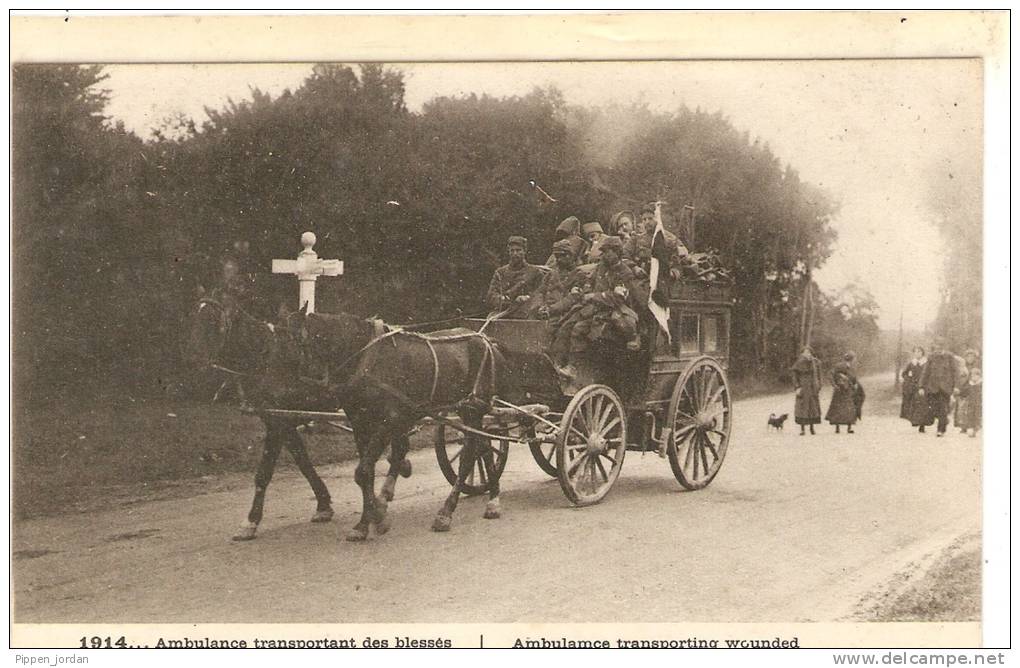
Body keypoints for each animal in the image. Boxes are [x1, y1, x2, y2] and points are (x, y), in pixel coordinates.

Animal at [267, 310, 510, 542]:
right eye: (273, 347)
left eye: (288, 348)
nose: (272, 398)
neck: (365, 358)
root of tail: (486, 340)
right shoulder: (360, 423)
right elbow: (367, 473)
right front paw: (370, 519)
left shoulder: (388, 420)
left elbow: (363, 471)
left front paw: (375, 518)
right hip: (469, 410)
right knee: (483, 447)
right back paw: (492, 499)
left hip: (473, 409)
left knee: (470, 454)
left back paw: (447, 512)